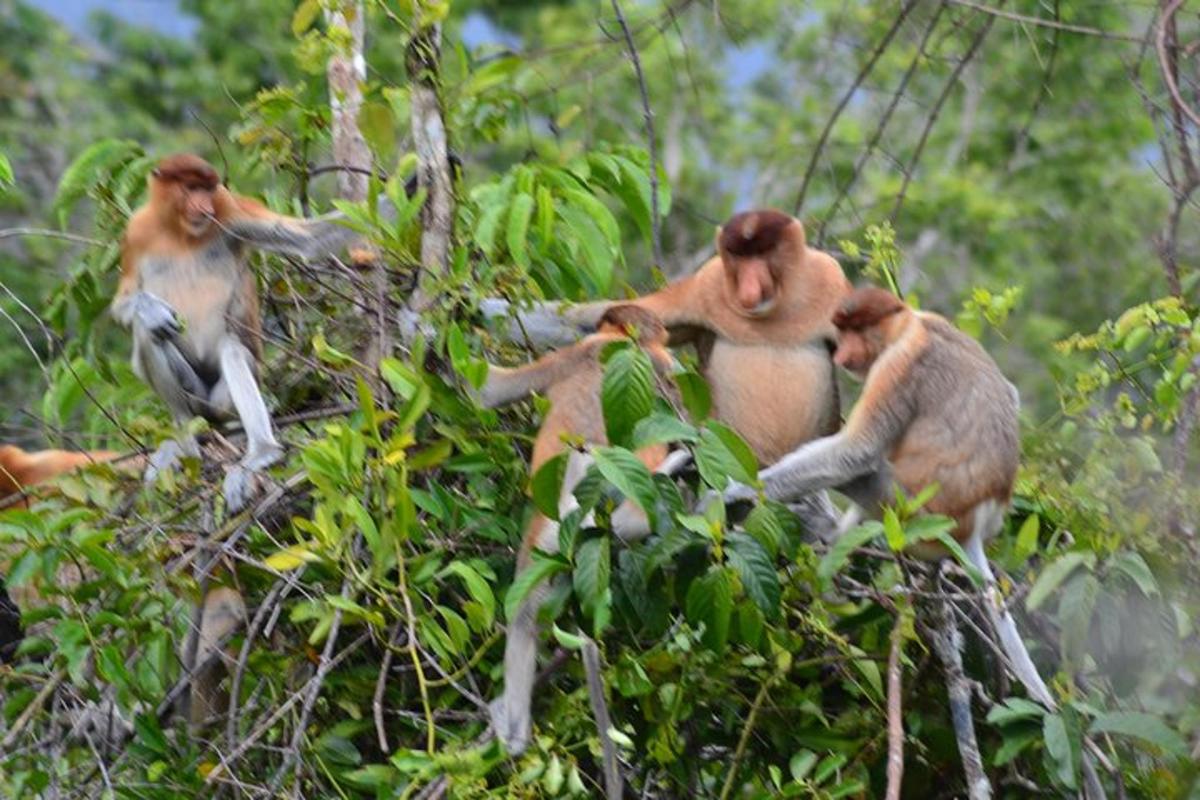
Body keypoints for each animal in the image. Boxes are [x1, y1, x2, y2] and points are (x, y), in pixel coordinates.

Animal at [112, 153, 362, 510]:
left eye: (207, 189)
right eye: (191, 188)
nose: (203, 205)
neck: (181, 232)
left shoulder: (229, 208)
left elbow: (308, 239)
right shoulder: (136, 232)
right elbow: (124, 301)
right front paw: (151, 309)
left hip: (222, 401)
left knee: (231, 349)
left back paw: (260, 453)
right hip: (197, 398)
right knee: (149, 335)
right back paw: (184, 441)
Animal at [482, 304, 691, 758]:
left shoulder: (575, 354)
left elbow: (487, 392)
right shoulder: (655, 362)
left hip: (546, 538)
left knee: (523, 612)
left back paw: (514, 732)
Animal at [724, 287, 1056, 705]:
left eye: (857, 330)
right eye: (843, 330)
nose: (841, 354)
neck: (909, 326)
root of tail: (973, 526)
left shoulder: (897, 366)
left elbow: (856, 452)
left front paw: (729, 492)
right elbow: (1010, 392)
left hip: (907, 506)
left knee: (864, 469)